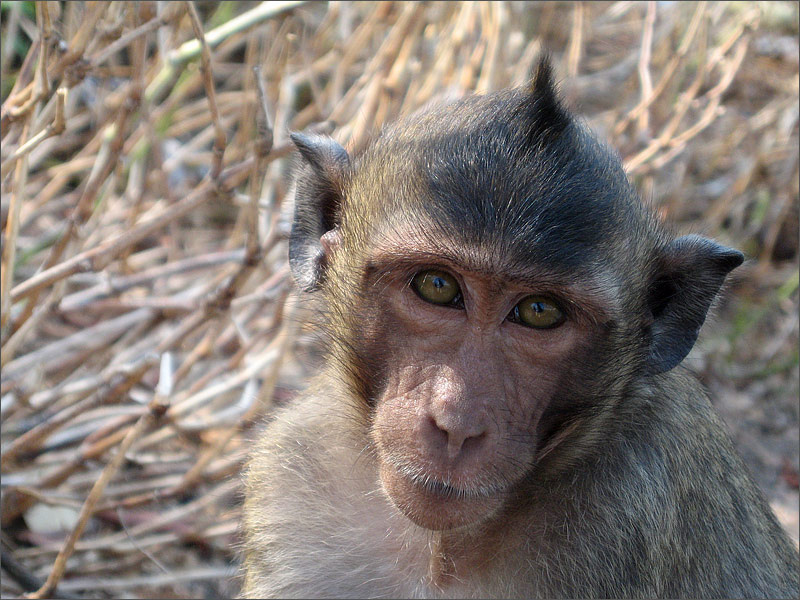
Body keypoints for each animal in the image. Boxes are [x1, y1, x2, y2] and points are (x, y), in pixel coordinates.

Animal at [241, 57, 800, 599]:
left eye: (538, 312)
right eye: (437, 286)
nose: (457, 424)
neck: (439, 552)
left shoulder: (631, 510)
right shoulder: (292, 484)